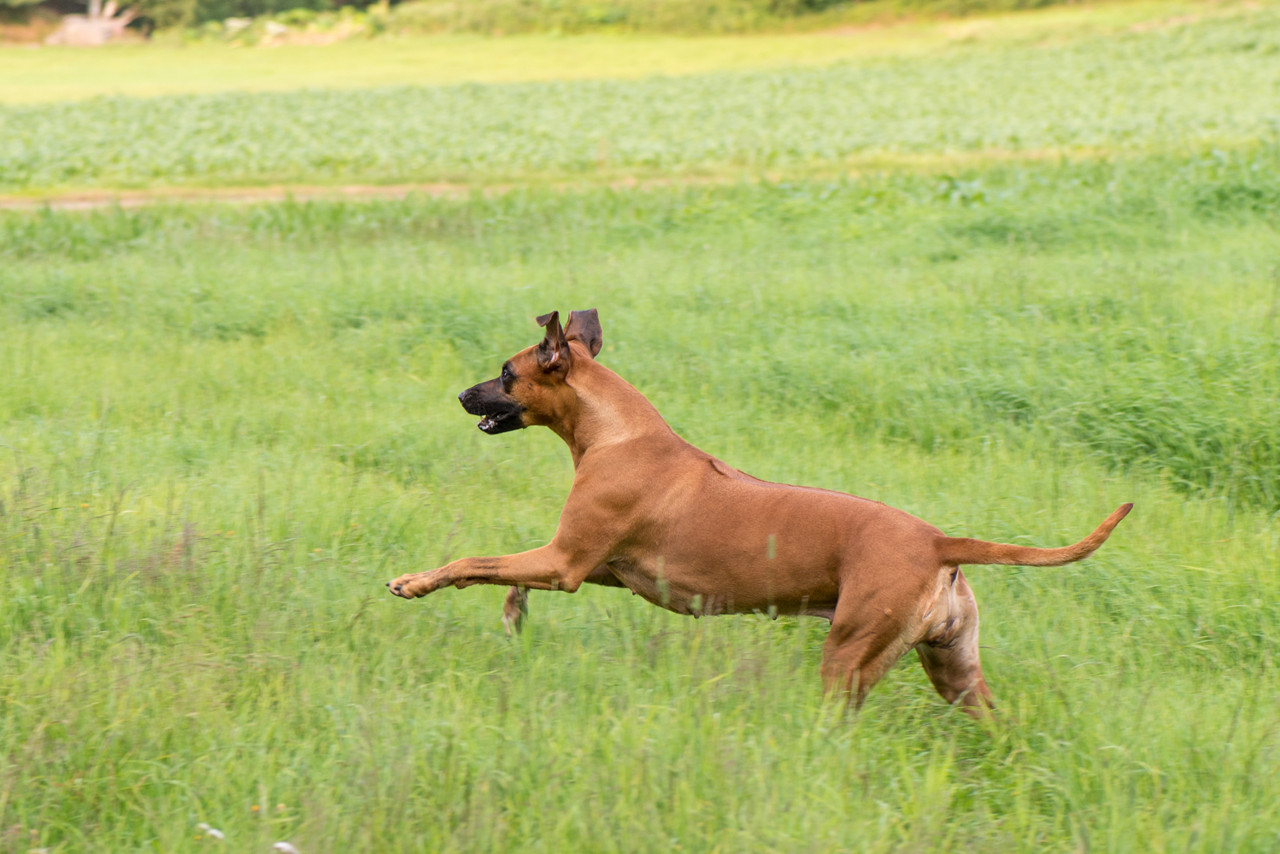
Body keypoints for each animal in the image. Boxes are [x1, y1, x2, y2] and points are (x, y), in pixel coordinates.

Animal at [388, 309, 1131, 715]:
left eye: (504, 374)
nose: (461, 395)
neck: (614, 429)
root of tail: (939, 542)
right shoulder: (595, 565)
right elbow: (506, 573)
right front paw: (513, 615)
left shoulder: (566, 561)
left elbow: (474, 560)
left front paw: (415, 583)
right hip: (956, 672)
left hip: (849, 658)